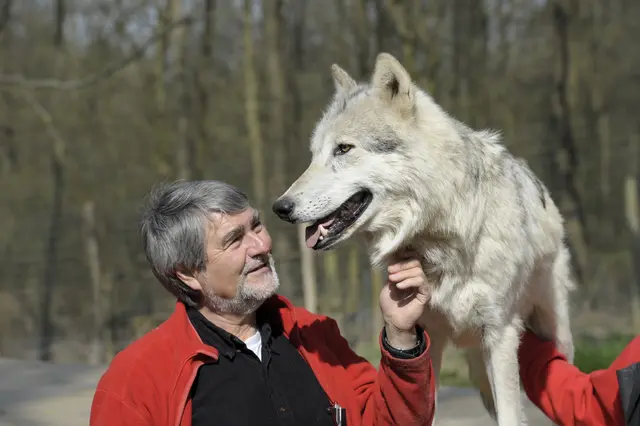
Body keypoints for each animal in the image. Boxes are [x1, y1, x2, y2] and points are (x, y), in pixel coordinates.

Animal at [271, 52, 575, 425]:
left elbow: (510, 414)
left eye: (343, 149)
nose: (280, 207)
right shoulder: (426, 336)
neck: (440, 240)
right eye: (314, 155)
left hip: (552, 338)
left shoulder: (500, 335)